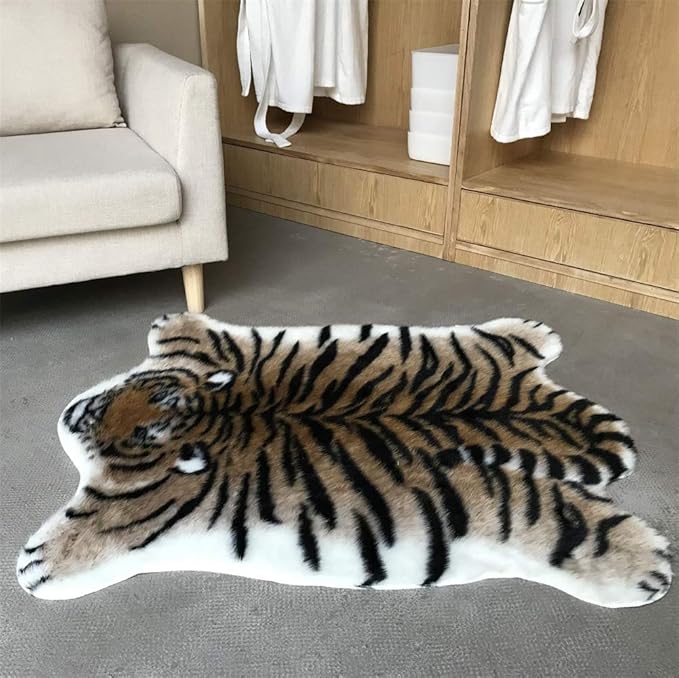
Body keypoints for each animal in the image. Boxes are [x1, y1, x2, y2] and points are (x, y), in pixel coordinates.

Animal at [17, 313, 672, 607]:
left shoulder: (135, 510)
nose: (79, 412)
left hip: (515, 508)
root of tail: (530, 398)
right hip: (479, 357)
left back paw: (648, 568)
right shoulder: (225, 352)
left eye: (148, 426)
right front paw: (172, 320)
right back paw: (534, 331)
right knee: (504, 343)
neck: (216, 412)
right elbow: (198, 336)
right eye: (138, 396)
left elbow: (89, 529)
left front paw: (35, 568)